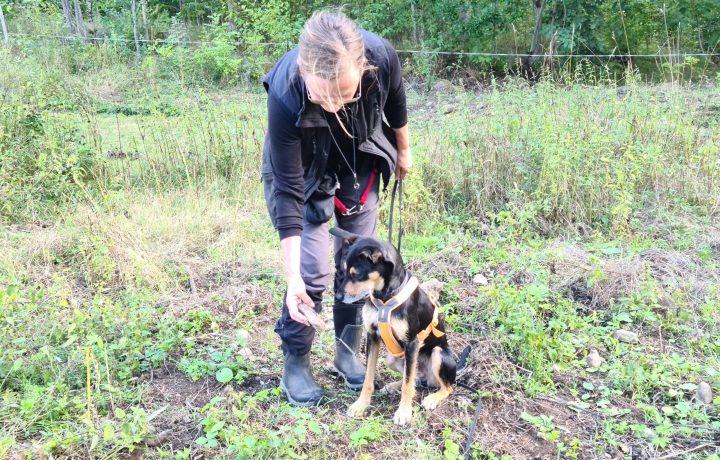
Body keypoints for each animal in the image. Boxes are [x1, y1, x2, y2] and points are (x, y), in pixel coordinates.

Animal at [330, 228, 456, 426]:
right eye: (343, 271)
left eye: (356, 274)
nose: (339, 297)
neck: (384, 296)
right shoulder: (372, 336)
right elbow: (369, 378)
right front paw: (361, 405)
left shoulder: (412, 343)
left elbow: (407, 385)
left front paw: (404, 413)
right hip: (392, 358)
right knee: (415, 380)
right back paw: (393, 386)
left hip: (438, 352)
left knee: (445, 387)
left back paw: (432, 398)